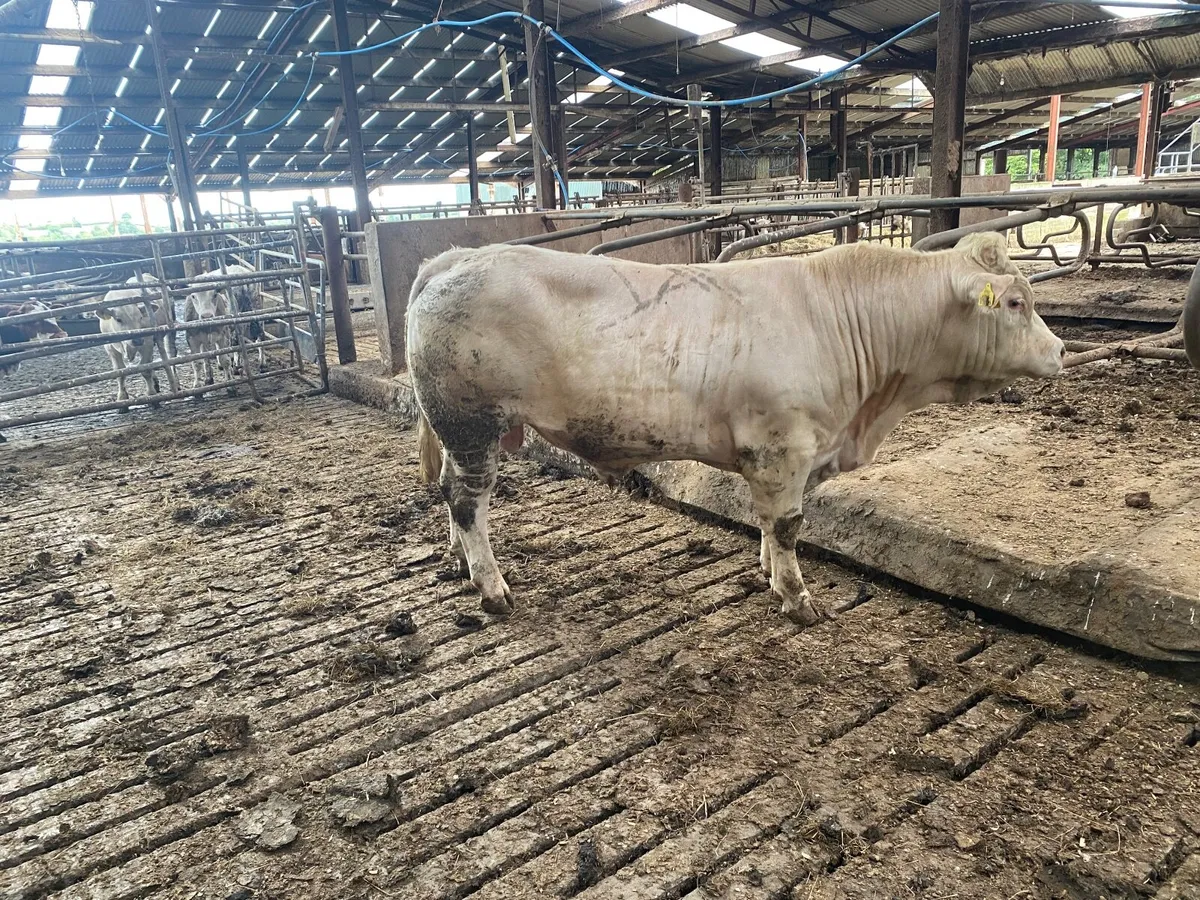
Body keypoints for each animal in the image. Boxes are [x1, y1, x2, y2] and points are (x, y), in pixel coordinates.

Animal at [98, 274, 180, 402]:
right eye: (118, 319)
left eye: (140, 317)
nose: (137, 339)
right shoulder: (110, 347)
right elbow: (119, 372)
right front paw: (122, 397)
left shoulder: (147, 342)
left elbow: (145, 369)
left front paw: (151, 394)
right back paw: (155, 383)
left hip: (170, 327)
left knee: (171, 353)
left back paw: (174, 383)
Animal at [405, 233, 1066, 623]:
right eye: (1015, 303)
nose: (1061, 350)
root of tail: (459, 255)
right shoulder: (782, 445)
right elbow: (790, 524)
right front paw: (797, 598)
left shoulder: (792, 455)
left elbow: (774, 522)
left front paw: (769, 573)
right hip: (471, 423)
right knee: (466, 500)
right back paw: (492, 588)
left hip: (464, 430)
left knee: (454, 497)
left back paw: (460, 563)